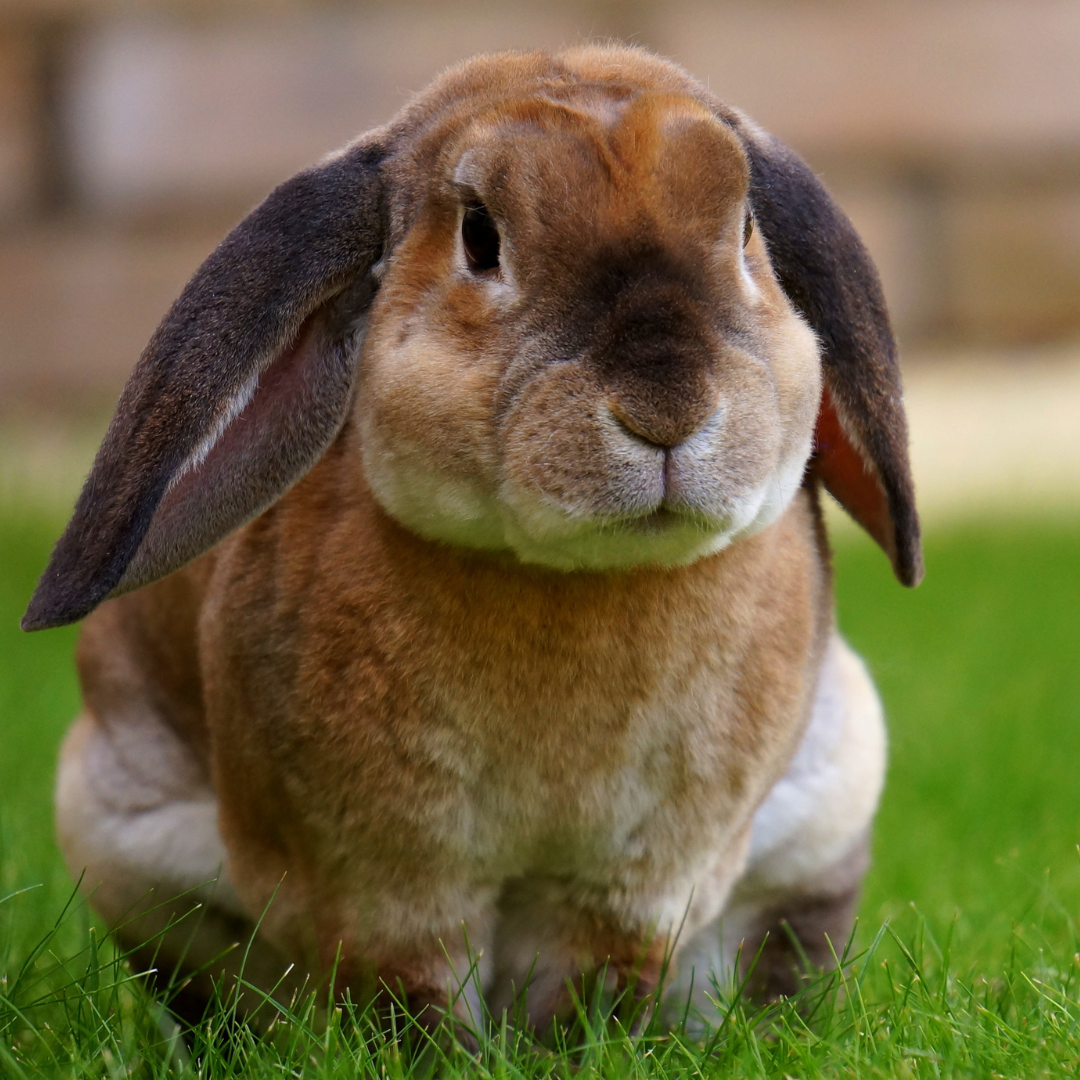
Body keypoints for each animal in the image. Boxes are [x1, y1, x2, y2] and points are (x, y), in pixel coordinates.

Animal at [24, 44, 921, 1033]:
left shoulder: (629, 889)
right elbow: (413, 999)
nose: (666, 408)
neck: (575, 580)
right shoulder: (386, 889)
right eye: (480, 237)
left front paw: (577, 1050)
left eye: (746, 227)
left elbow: (589, 990)